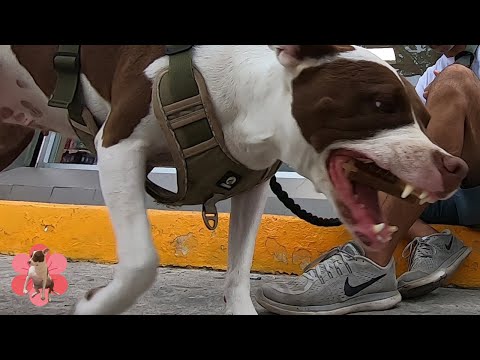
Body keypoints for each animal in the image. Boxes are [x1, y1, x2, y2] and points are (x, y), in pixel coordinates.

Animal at [0, 45, 466, 316]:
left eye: (425, 118)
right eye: (380, 103)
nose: (455, 166)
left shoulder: (251, 184)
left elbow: (240, 268)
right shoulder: (117, 147)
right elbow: (142, 262)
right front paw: (95, 304)